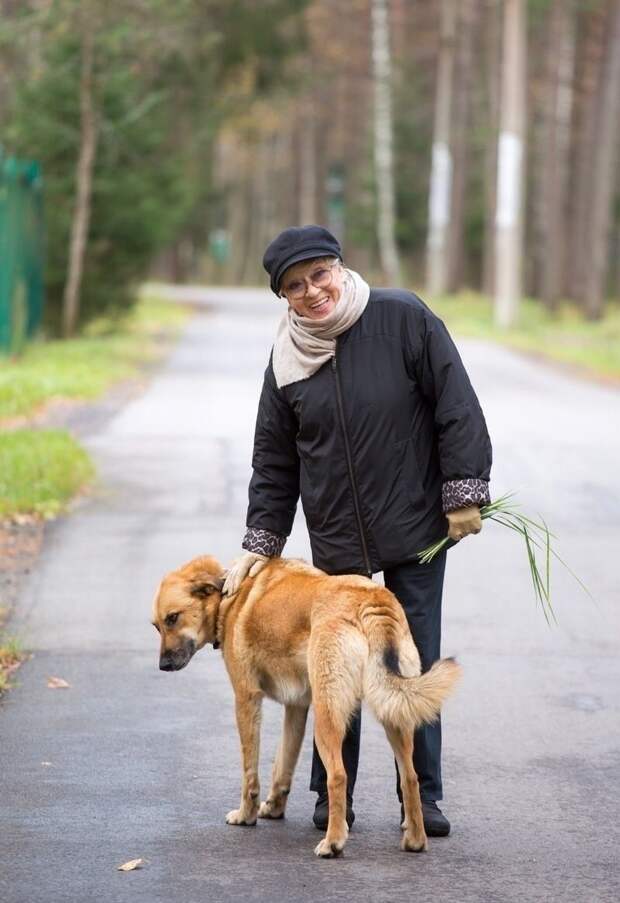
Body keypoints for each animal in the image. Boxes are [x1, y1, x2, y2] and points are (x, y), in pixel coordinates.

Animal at [151, 556, 460, 860]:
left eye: (173, 618)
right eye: (157, 626)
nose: (163, 666)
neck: (231, 598)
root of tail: (371, 600)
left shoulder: (246, 699)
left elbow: (250, 773)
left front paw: (246, 815)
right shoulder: (296, 707)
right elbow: (283, 764)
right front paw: (274, 807)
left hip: (326, 719)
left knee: (338, 776)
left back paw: (333, 842)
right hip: (395, 714)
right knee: (411, 777)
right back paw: (415, 839)